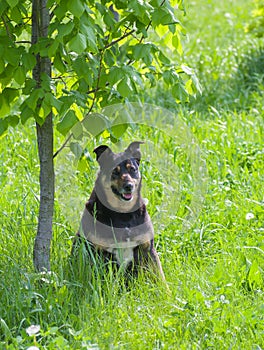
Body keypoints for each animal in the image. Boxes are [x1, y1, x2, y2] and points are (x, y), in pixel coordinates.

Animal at [73, 141, 165, 280]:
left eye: (132, 169)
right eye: (114, 172)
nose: (129, 186)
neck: (123, 214)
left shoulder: (148, 249)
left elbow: (161, 278)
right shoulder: (99, 253)